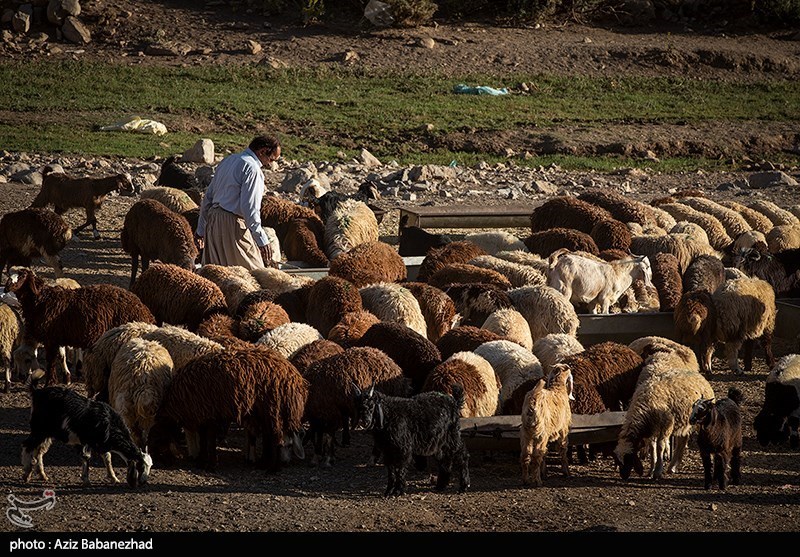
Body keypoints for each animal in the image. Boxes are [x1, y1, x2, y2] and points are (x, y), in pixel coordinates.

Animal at [21, 386, 152, 486]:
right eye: (141, 466)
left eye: (150, 466)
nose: (143, 482)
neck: (109, 423)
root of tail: (36, 392)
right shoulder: (88, 441)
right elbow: (87, 457)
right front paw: (86, 480)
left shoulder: (100, 443)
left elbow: (107, 457)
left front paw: (113, 477)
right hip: (39, 429)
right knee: (28, 445)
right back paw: (26, 474)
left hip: (47, 433)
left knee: (39, 450)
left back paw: (42, 475)